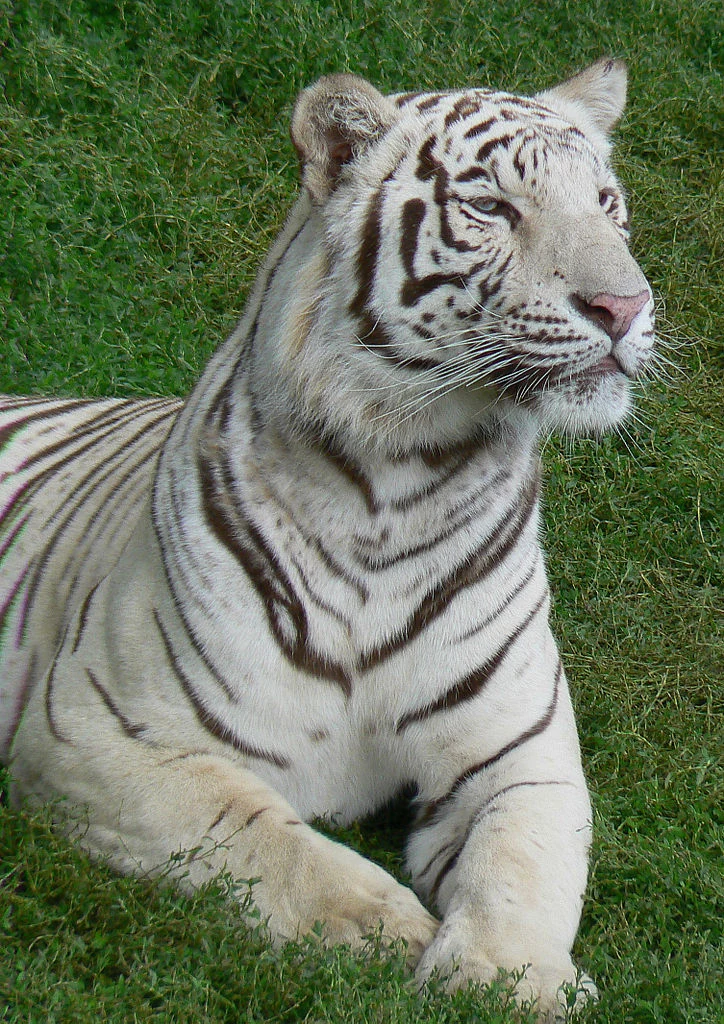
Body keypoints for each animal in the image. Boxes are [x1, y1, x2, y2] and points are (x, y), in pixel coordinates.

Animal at [0, 58, 655, 1024]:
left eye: (607, 204)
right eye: (491, 207)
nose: (624, 307)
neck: (402, 481)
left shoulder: (521, 755)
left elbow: (523, 869)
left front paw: (508, 980)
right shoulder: (95, 732)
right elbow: (267, 842)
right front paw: (392, 936)